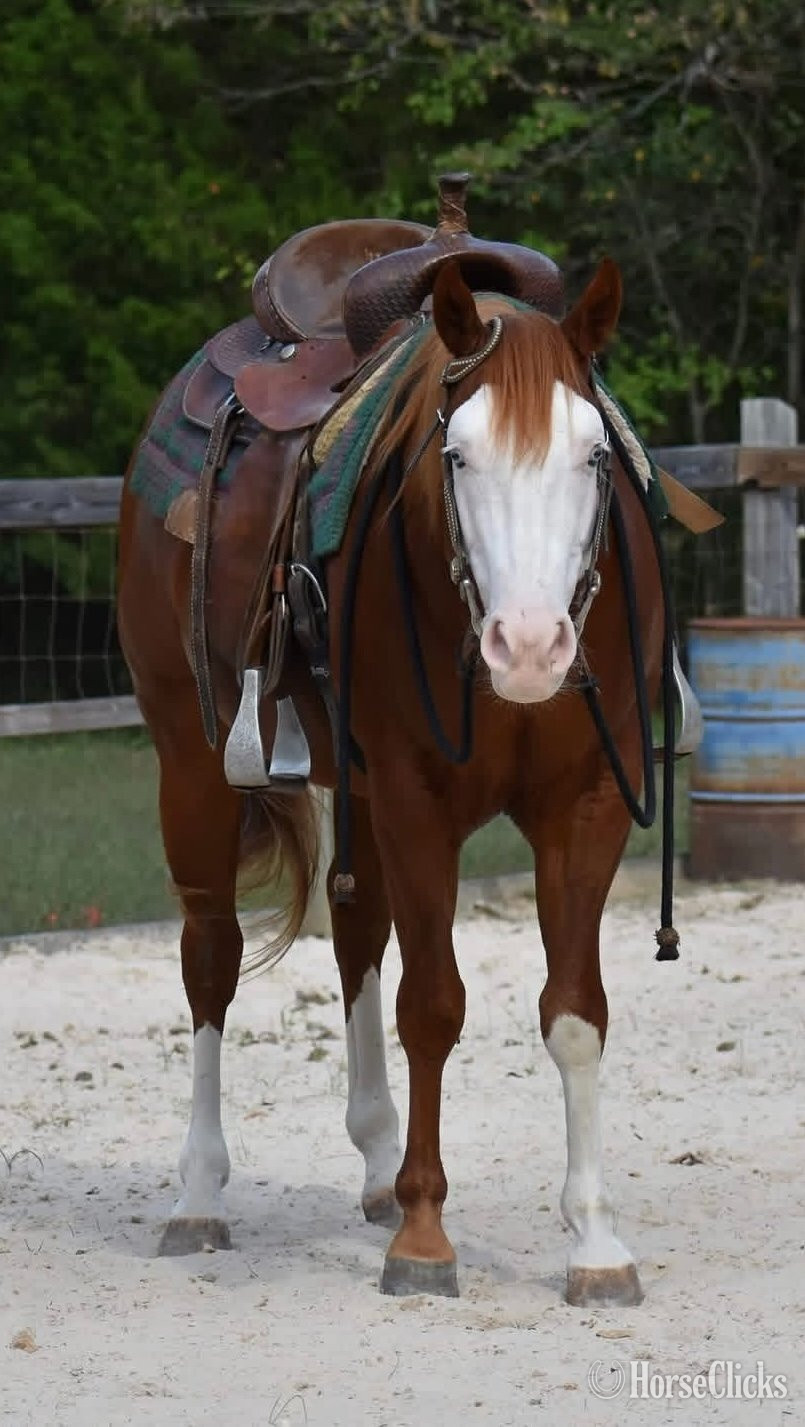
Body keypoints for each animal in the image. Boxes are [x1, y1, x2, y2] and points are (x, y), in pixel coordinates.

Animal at [117, 242, 664, 1306]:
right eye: (457, 456)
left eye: (595, 456)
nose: (528, 645)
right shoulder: (417, 799)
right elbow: (433, 1006)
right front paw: (423, 1237)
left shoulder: (585, 804)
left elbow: (575, 1012)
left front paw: (593, 1241)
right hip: (192, 764)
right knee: (210, 957)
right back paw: (198, 1195)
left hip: (354, 787)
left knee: (357, 929)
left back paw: (373, 1164)